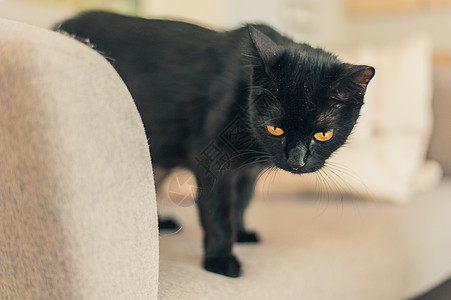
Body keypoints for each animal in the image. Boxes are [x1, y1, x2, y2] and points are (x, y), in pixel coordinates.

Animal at [55, 11, 374, 278]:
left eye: (323, 134)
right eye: (275, 128)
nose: (296, 160)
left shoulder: (248, 171)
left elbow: (242, 201)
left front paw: (241, 233)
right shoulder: (214, 161)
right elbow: (219, 213)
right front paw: (221, 259)